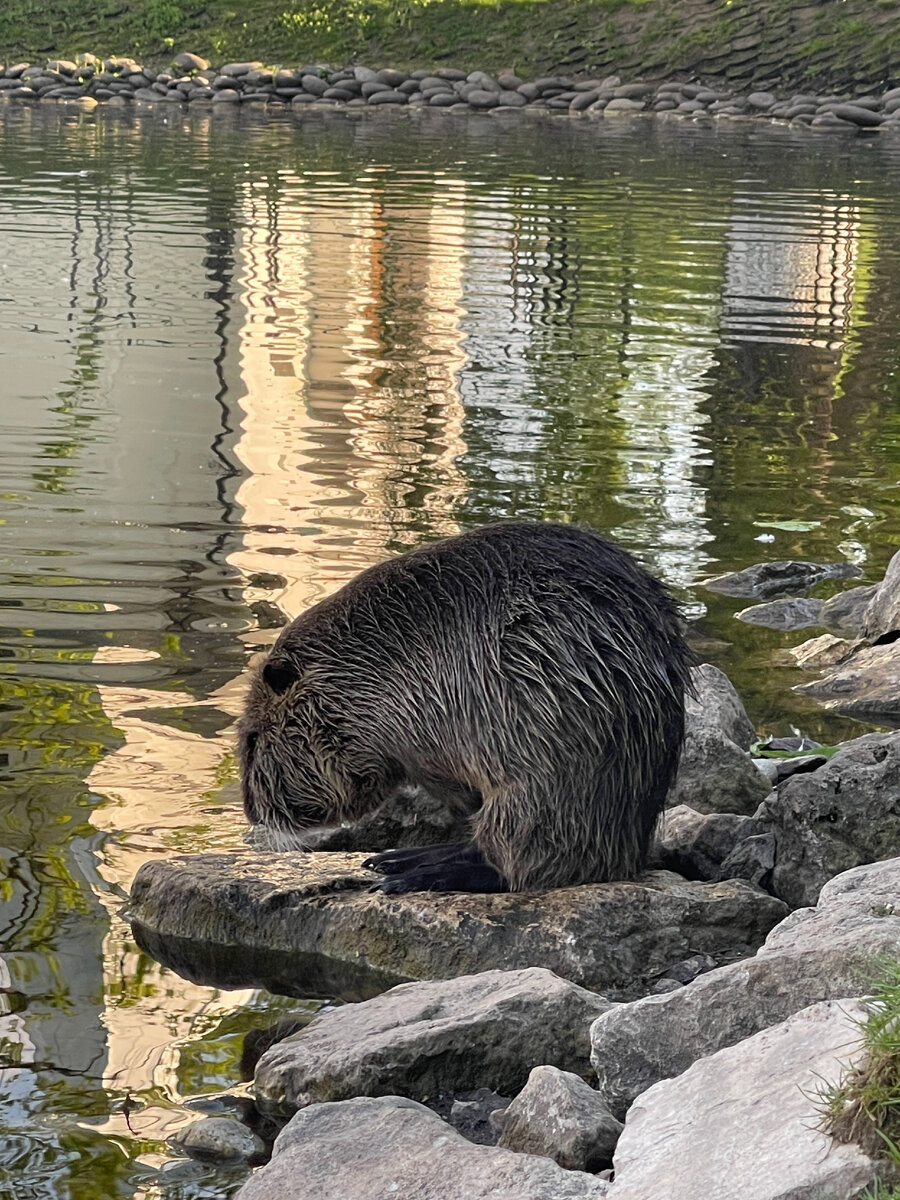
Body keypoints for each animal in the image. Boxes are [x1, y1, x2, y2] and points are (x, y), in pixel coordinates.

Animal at [236, 520, 696, 897]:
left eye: (253, 740)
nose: (252, 812)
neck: (361, 666)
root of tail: (631, 853)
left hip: (546, 787)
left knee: (521, 862)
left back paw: (412, 873)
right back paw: (395, 859)